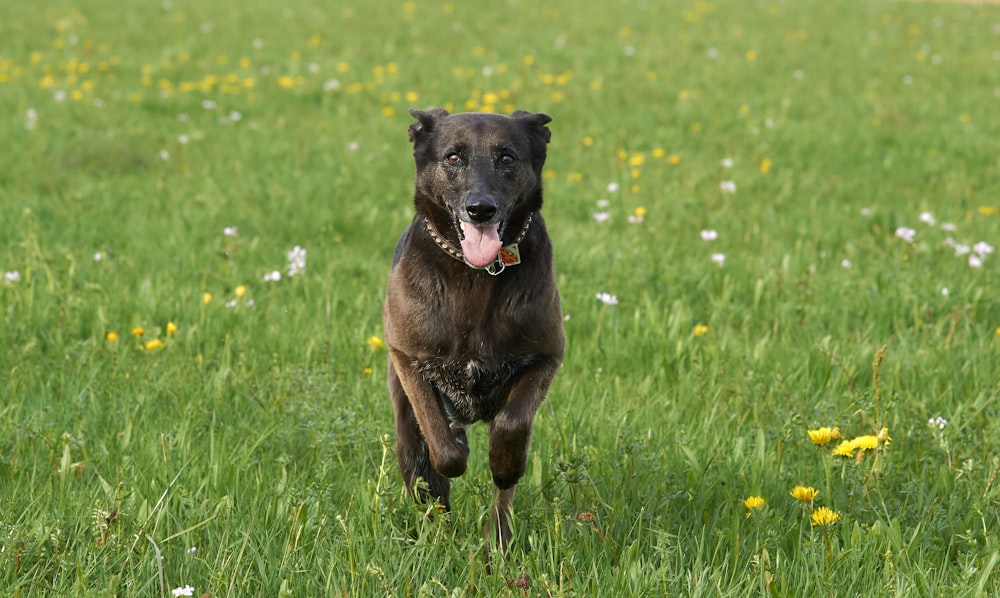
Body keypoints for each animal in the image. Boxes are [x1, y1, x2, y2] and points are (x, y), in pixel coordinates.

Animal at [382, 110, 564, 556]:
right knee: (422, 470)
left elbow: (512, 426)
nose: (480, 208)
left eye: (507, 158)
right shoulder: (407, 357)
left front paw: (504, 462)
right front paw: (456, 446)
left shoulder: (547, 356)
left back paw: (496, 543)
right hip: (404, 432)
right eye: (453, 157)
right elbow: (441, 442)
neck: (476, 274)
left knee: (503, 497)